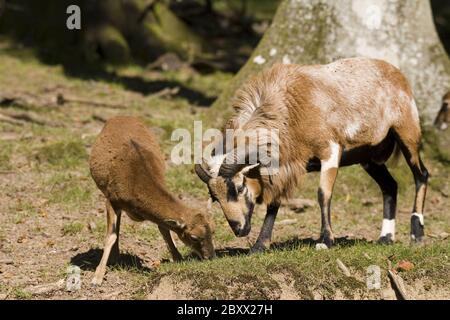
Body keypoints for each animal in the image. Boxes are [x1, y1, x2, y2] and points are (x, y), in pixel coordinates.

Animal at [195, 57, 428, 252]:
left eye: (239, 187)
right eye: (214, 197)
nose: (238, 229)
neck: (292, 106)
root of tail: (395, 72)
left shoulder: (330, 150)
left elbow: (323, 194)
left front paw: (326, 241)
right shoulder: (284, 167)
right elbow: (275, 202)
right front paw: (260, 245)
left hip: (407, 133)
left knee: (421, 175)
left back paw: (416, 235)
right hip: (369, 158)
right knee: (390, 186)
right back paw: (386, 238)